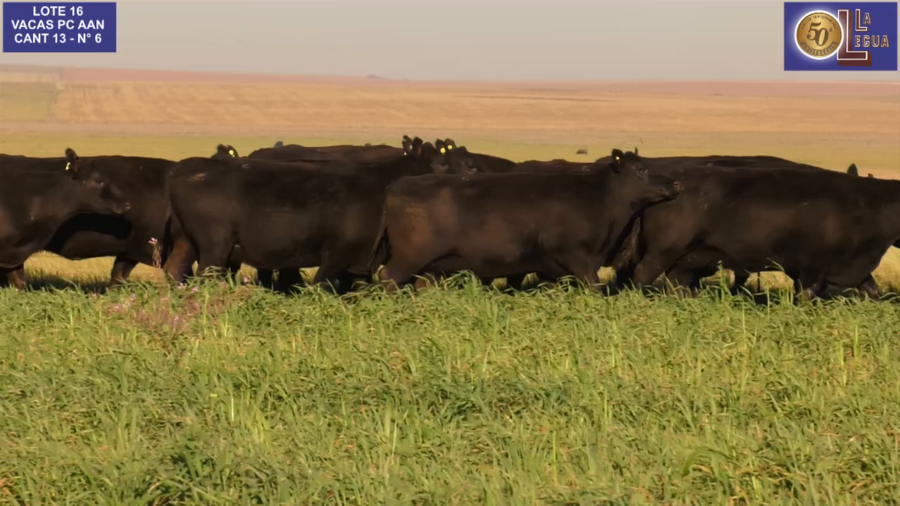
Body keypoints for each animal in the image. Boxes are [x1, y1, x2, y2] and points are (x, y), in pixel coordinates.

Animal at [163, 137, 462, 293]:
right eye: (439, 163)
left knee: (175, 270)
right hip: (215, 245)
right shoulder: (337, 254)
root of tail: (184, 168)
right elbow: (322, 286)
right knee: (204, 275)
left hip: (185, 240)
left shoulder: (361, 261)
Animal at [371, 149, 682, 292]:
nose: (675, 183)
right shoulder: (577, 257)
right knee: (388, 277)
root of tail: (396, 186)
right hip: (409, 257)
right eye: (641, 169)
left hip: (430, 266)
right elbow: (593, 287)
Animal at [609, 164, 900, 299]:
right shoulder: (810, 269)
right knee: (642, 276)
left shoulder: (856, 268)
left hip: (686, 259)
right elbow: (806, 296)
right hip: (661, 253)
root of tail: (671, 184)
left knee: (676, 283)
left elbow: (872, 290)